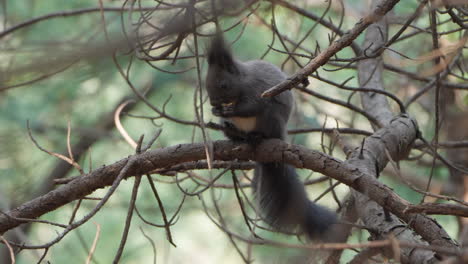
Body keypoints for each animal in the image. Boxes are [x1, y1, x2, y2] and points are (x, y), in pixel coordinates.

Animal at [205, 33, 336, 239]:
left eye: (223, 84)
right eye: (205, 84)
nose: (213, 102)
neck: (242, 83)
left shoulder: (257, 91)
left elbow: (251, 107)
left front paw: (229, 110)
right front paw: (216, 111)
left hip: (270, 118)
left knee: (263, 126)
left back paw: (256, 137)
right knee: (235, 133)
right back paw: (234, 134)